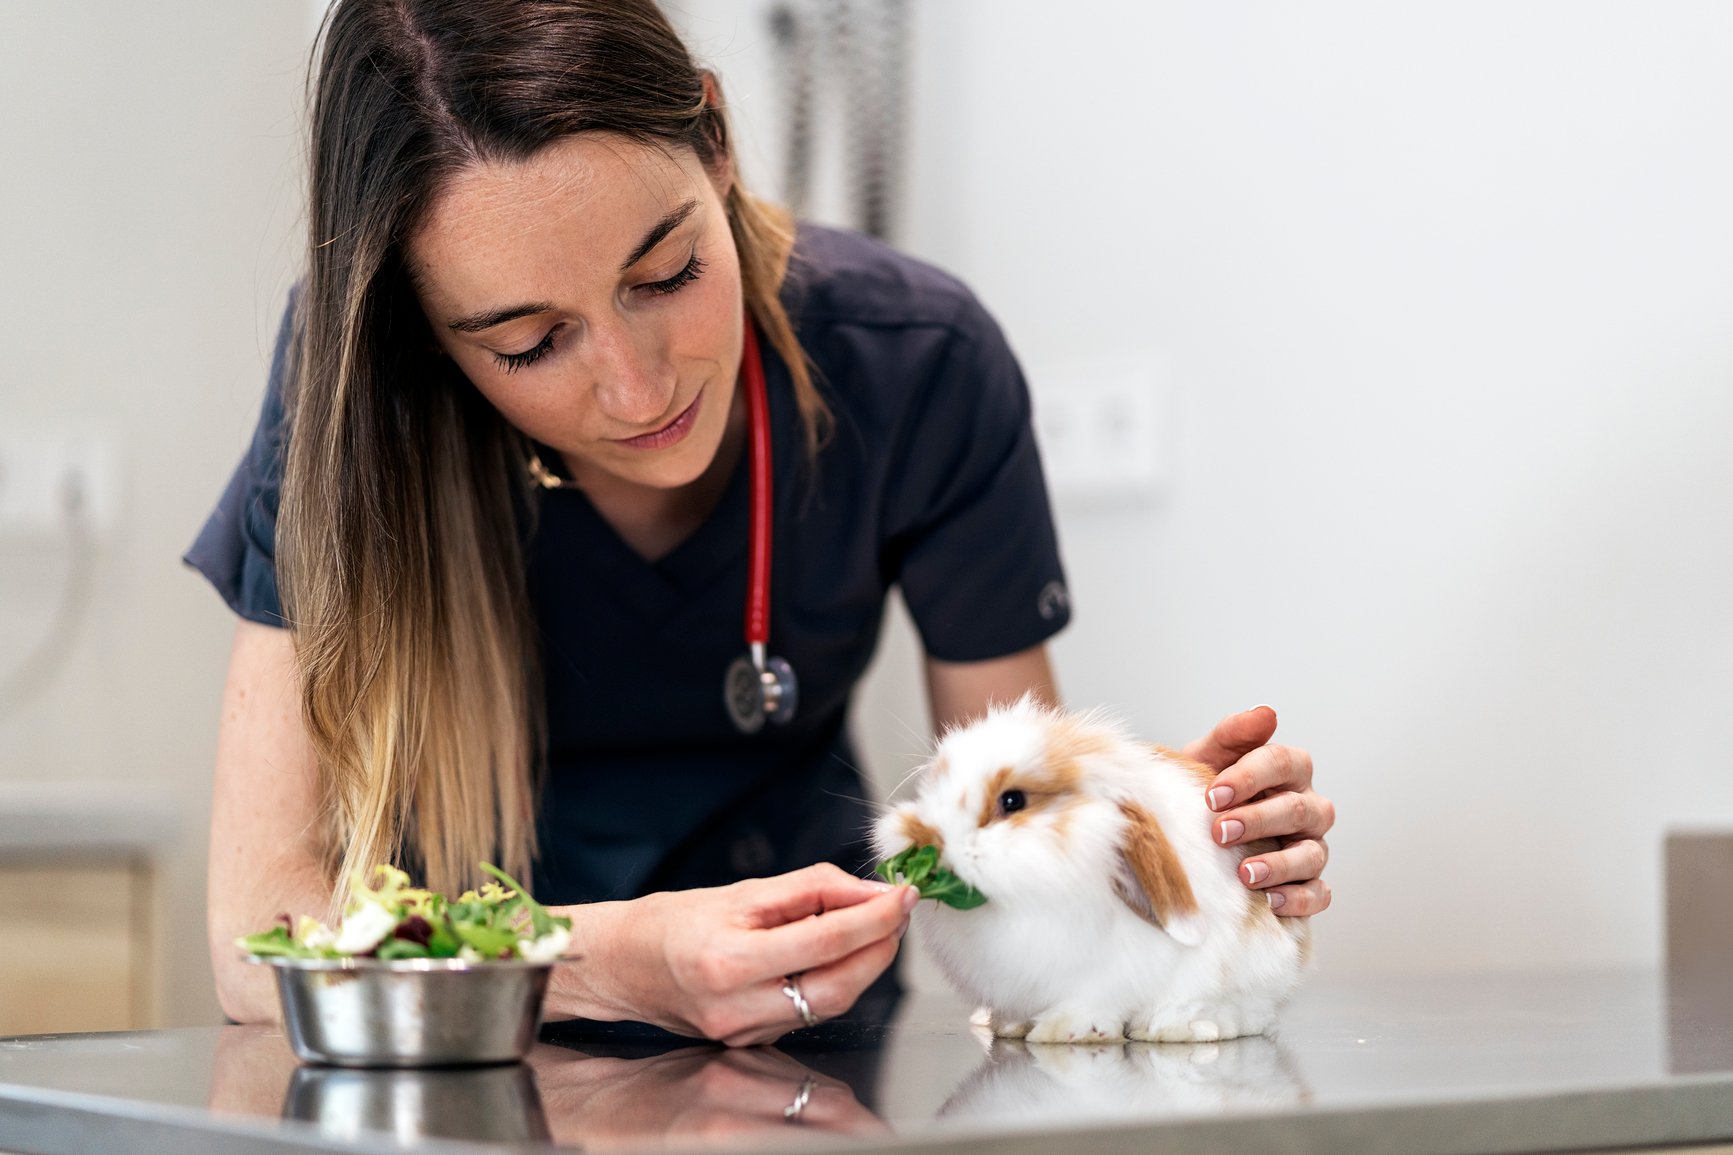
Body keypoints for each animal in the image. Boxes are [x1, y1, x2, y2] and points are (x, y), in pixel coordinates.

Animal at [873, 693, 1303, 1040]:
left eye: (1012, 801)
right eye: (931, 791)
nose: (927, 839)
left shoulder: (1108, 976)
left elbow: (1091, 1004)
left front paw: (1065, 1031)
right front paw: (1013, 1026)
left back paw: (1178, 1029)